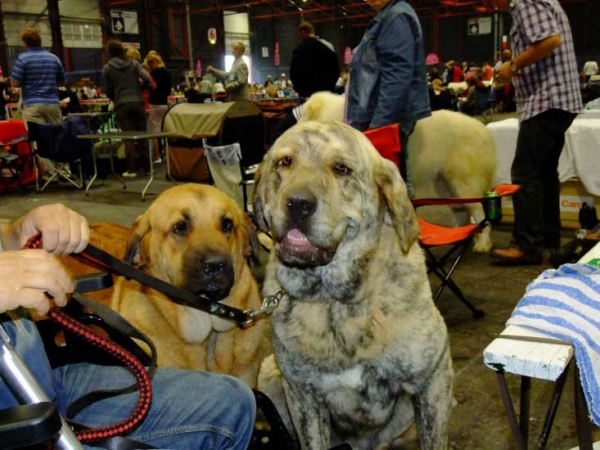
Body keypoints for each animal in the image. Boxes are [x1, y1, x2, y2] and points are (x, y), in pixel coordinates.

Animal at [254, 121, 454, 448]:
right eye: (285, 162)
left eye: (341, 168)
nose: (297, 203)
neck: (334, 302)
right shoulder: (303, 396)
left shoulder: (433, 380)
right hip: (269, 375)